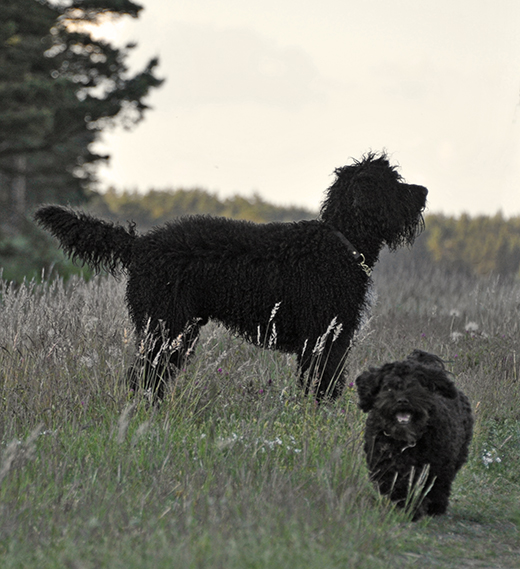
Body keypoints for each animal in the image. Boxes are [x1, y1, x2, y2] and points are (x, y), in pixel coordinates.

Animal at [35, 151, 426, 400]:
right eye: (393, 181)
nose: (423, 191)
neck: (340, 239)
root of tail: (141, 243)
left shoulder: (325, 338)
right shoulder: (324, 337)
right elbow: (323, 385)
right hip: (166, 326)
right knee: (145, 376)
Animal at [356, 346, 474, 520]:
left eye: (415, 386)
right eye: (388, 387)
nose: (402, 400)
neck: (405, 441)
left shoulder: (434, 466)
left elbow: (428, 485)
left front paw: (414, 508)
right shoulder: (383, 462)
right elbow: (396, 483)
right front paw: (406, 505)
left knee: (441, 486)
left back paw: (436, 507)